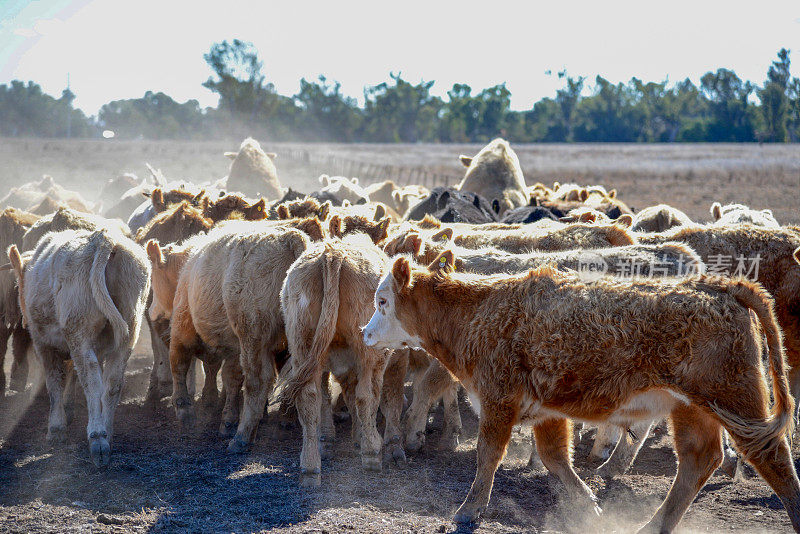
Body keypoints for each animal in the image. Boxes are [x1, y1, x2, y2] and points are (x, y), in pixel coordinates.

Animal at [7, 230, 149, 468]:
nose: (24, 321)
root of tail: (103, 239)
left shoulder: (43, 343)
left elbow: (54, 382)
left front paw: (56, 428)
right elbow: (72, 376)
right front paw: (68, 410)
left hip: (78, 331)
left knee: (91, 380)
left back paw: (98, 440)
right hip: (129, 331)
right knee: (112, 383)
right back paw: (107, 433)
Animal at [364, 253, 800, 532]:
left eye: (383, 301)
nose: (364, 333)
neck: (479, 310)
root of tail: (721, 285)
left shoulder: (498, 399)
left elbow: (488, 454)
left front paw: (469, 511)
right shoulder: (545, 410)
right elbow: (555, 457)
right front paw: (589, 506)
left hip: (735, 400)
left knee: (771, 458)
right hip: (692, 407)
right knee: (699, 460)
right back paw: (652, 526)